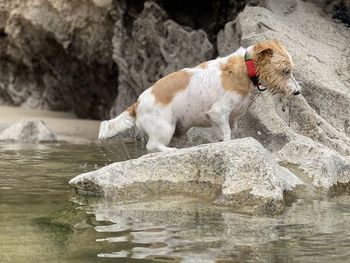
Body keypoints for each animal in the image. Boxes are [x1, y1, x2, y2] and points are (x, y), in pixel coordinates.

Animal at [98, 38, 300, 153]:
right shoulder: (218, 113)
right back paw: (169, 151)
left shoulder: (231, 119)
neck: (246, 67)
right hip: (164, 128)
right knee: (152, 146)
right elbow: (227, 134)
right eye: (285, 71)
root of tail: (136, 104)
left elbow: (230, 132)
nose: (297, 92)